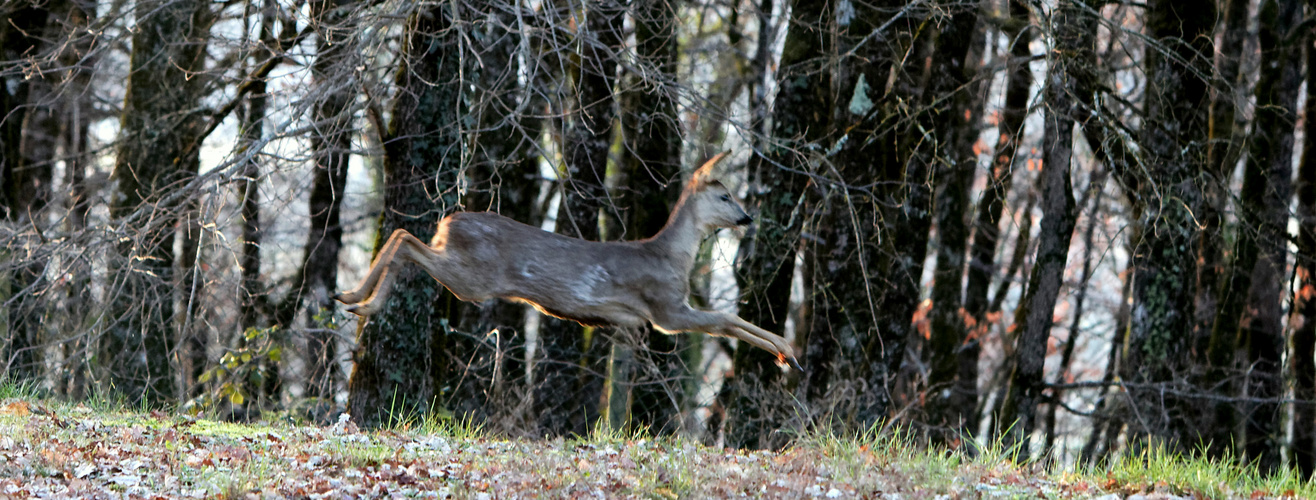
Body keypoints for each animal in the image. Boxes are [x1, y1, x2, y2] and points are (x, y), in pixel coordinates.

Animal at [334, 153, 794, 371]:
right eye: (725, 195)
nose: (746, 217)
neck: (670, 257)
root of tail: (449, 222)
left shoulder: (652, 316)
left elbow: (724, 323)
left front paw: (784, 354)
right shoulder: (665, 310)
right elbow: (724, 319)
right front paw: (787, 351)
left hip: (463, 268)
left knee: (402, 235)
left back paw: (351, 297)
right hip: (472, 277)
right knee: (406, 240)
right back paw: (361, 301)